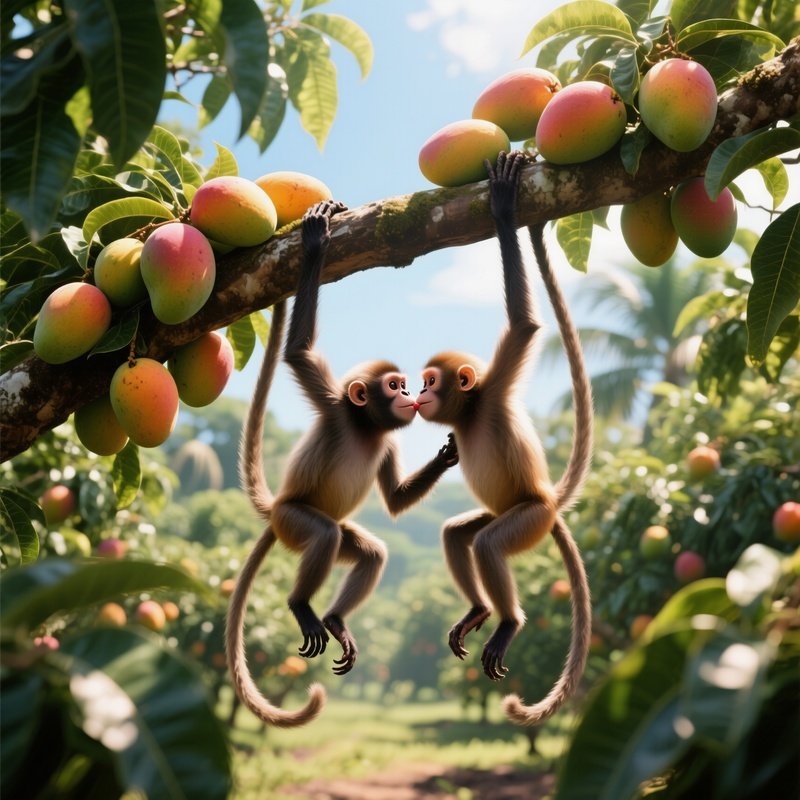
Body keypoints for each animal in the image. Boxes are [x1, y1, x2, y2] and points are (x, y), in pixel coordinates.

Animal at [226, 199, 459, 728]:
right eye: (394, 385)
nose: (410, 395)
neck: (366, 428)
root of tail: (275, 509)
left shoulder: (388, 444)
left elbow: (394, 501)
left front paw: (448, 455)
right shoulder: (334, 407)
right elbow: (297, 354)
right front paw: (315, 239)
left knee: (369, 552)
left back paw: (334, 618)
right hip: (296, 520)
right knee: (326, 536)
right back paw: (302, 605)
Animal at [415, 151, 593, 726]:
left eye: (431, 382)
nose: (418, 395)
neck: (470, 414)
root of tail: (548, 499)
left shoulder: (494, 389)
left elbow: (525, 327)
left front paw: (503, 206)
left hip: (525, 520)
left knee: (490, 543)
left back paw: (508, 621)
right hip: (505, 512)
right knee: (459, 534)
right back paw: (479, 609)